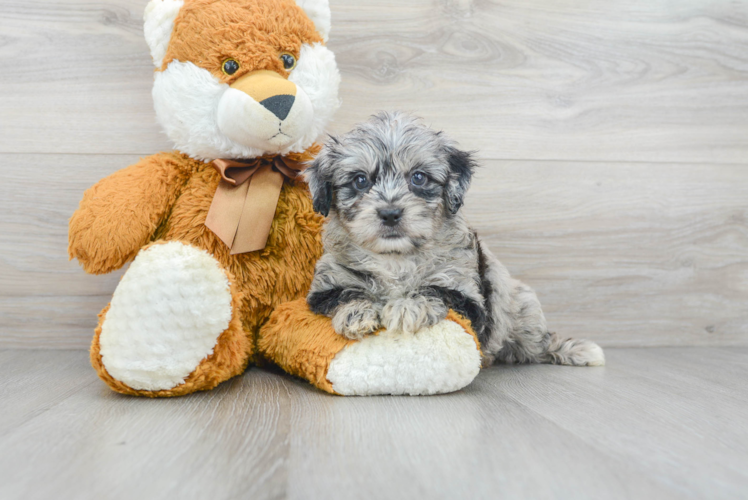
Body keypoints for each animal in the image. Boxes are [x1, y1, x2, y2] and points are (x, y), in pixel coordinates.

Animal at [302, 111, 600, 366]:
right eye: (360, 180)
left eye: (419, 177)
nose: (390, 214)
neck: (396, 258)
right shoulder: (327, 284)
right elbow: (347, 293)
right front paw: (357, 314)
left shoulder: (466, 295)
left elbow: (434, 290)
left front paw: (406, 307)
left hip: (524, 309)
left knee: (539, 344)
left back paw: (575, 350)